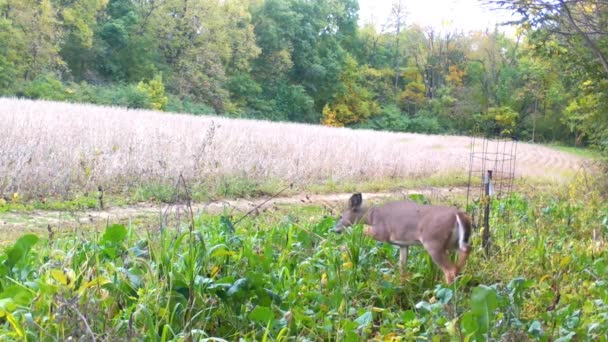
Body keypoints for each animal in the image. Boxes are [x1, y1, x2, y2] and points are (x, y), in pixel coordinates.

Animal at [332, 192, 470, 284]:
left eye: (340, 216)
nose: (335, 230)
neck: (372, 217)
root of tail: (459, 215)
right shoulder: (403, 244)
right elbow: (402, 266)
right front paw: (402, 284)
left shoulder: (382, 232)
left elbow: (363, 230)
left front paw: (344, 249)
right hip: (452, 243)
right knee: (465, 250)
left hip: (433, 242)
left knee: (449, 269)